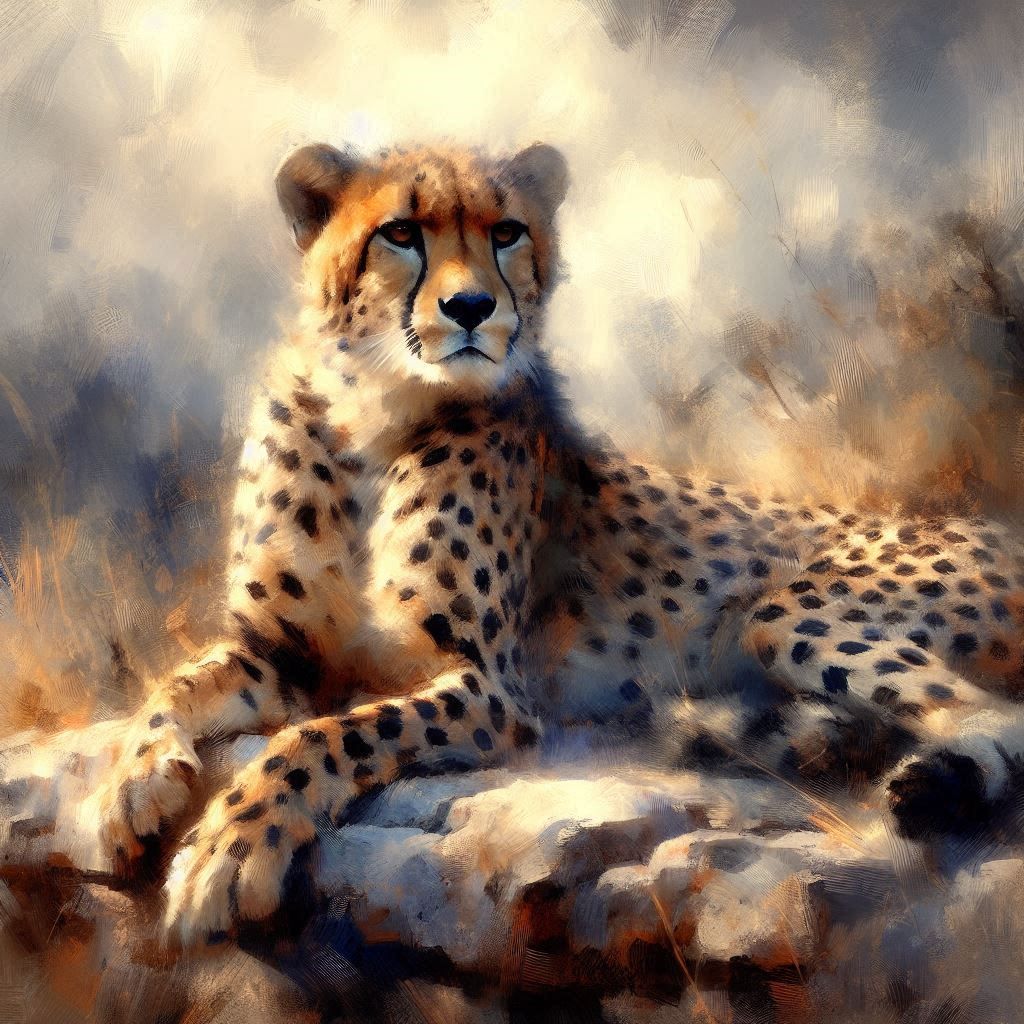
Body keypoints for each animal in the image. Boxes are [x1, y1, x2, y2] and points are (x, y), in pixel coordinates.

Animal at [47, 140, 1024, 947]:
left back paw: (927, 784)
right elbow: (176, 685)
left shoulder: (487, 685)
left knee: (990, 715)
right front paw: (128, 787)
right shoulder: (280, 651)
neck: (374, 412)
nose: (471, 306)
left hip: (787, 608)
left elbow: (324, 737)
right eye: (400, 232)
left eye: (507, 230)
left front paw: (228, 851)